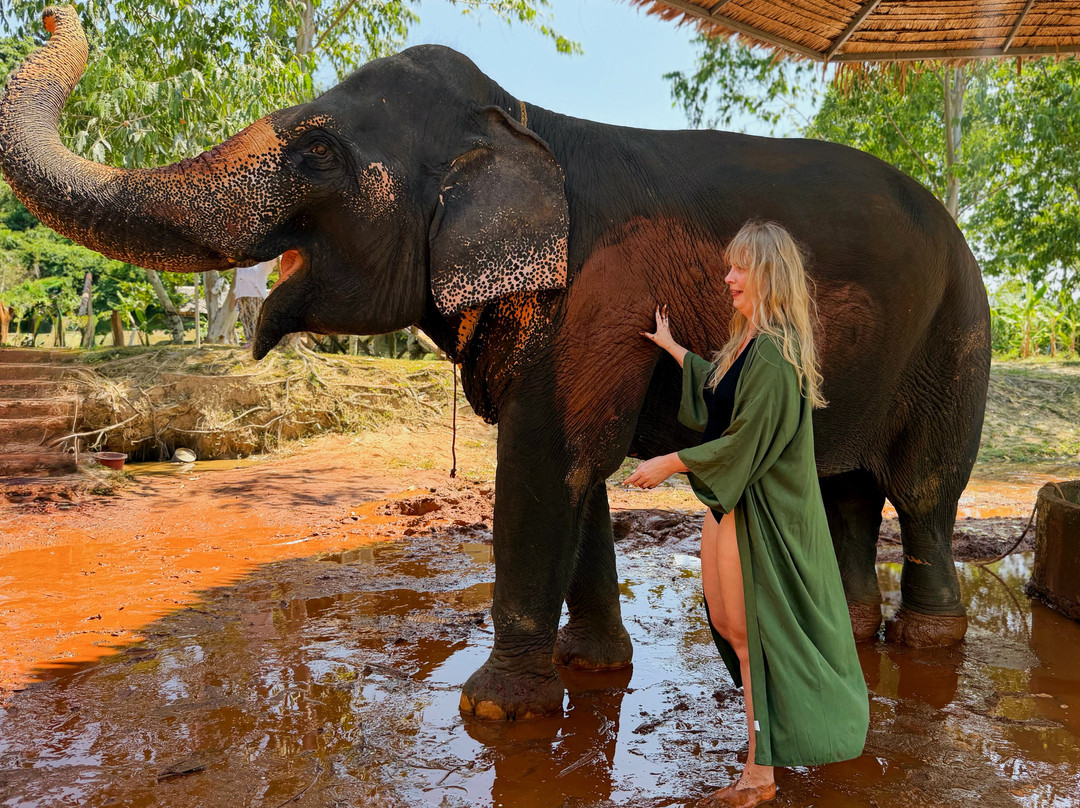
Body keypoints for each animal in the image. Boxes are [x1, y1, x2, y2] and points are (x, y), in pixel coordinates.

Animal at [1, 7, 990, 720]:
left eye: (316, 151)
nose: (49, 16)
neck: (522, 121)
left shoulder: (596, 294)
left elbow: (547, 461)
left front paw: (492, 711)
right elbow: (579, 475)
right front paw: (588, 669)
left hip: (960, 330)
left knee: (923, 491)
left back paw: (928, 643)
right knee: (847, 488)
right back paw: (856, 630)